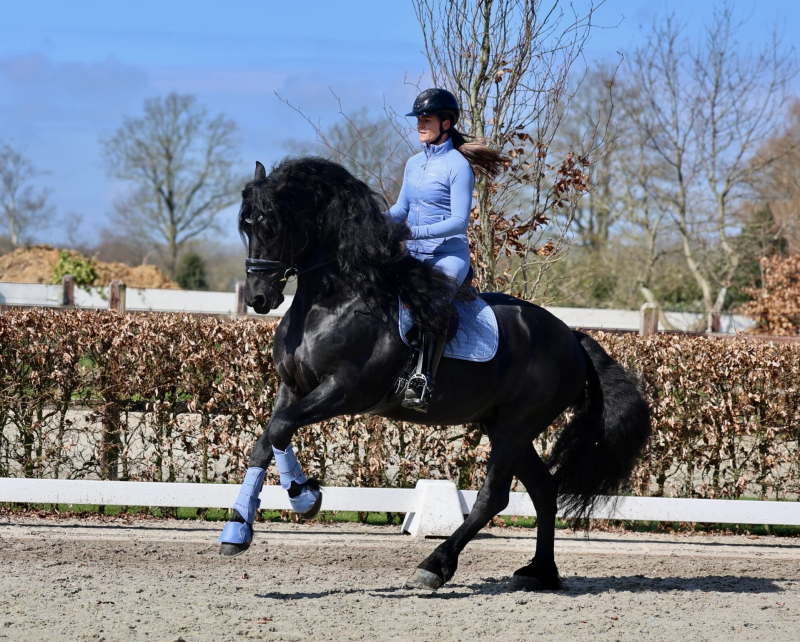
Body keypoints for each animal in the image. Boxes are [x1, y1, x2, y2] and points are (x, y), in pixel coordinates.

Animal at [222, 156, 650, 591]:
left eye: (271, 226)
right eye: (246, 225)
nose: (259, 297)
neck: (332, 301)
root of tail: (571, 337)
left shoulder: (345, 390)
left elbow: (280, 429)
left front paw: (304, 497)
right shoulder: (293, 387)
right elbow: (267, 439)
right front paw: (238, 530)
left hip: (516, 426)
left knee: (494, 497)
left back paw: (435, 565)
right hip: (504, 425)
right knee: (544, 489)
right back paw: (539, 572)